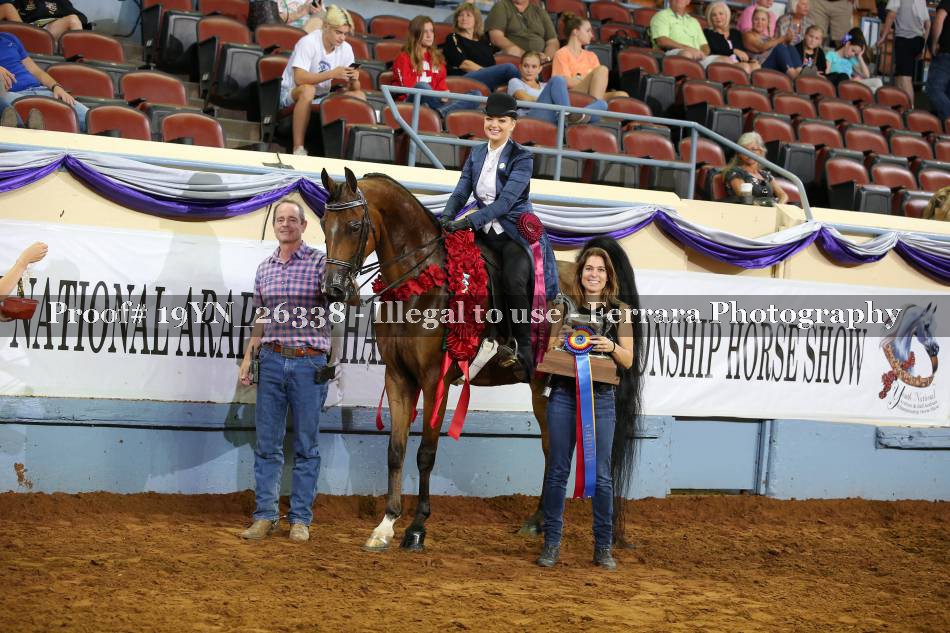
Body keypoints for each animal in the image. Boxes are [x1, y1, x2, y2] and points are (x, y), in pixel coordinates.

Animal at [319, 167, 643, 552]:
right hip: (544, 388)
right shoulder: (398, 377)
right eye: (324, 223)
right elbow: (395, 450)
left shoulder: (436, 380)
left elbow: (425, 453)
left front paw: (417, 528)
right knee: (552, 448)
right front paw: (385, 525)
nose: (334, 289)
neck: (421, 284)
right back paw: (537, 521)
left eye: (355, 225)